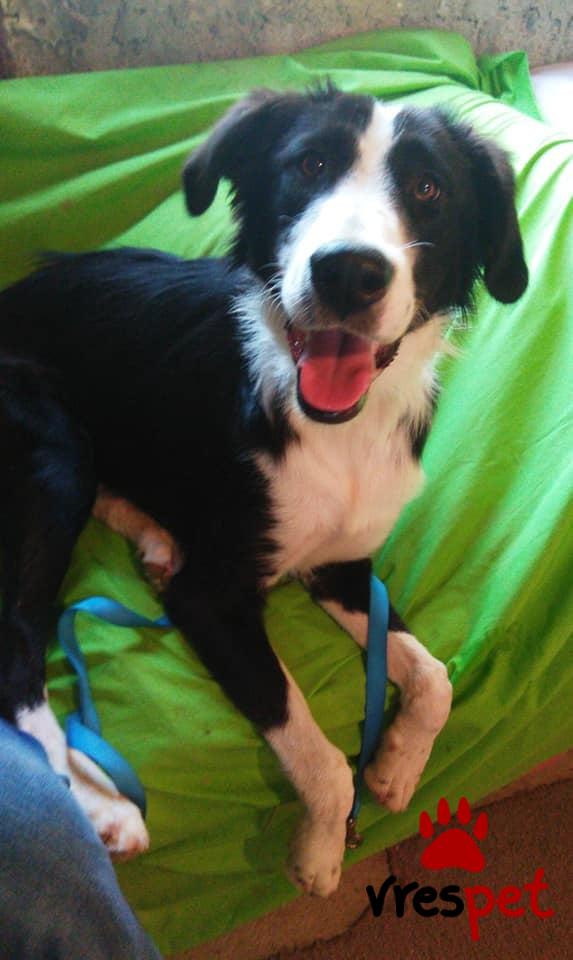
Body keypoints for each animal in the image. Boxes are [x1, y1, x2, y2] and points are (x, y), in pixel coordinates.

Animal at [0, 85, 527, 894]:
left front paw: (398, 767)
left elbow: (435, 677)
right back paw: (102, 808)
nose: (348, 273)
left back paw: (155, 538)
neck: (336, 432)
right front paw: (319, 851)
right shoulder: (210, 600)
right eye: (309, 165)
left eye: (428, 189)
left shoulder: (341, 567)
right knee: (18, 647)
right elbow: (317, 751)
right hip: (52, 447)